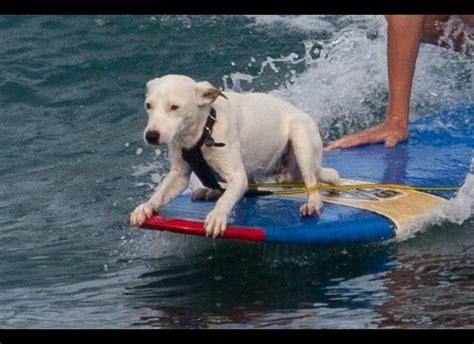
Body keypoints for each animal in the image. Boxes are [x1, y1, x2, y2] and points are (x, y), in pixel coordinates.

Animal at [128, 74, 338, 236]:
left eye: (174, 107)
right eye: (148, 105)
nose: (151, 135)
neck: (204, 131)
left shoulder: (238, 176)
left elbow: (226, 199)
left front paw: (217, 216)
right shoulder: (179, 174)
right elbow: (161, 193)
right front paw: (146, 206)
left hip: (300, 137)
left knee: (313, 181)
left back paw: (313, 203)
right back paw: (210, 191)